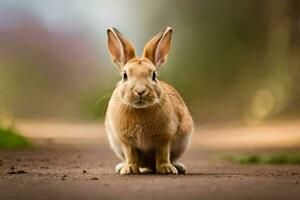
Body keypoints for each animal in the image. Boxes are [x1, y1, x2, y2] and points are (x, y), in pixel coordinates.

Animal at [105, 27, 193, 175]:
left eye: (154, 75)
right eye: (124, 75)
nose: (140, 91)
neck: (140, 109)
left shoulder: (164, 138)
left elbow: (163, 154)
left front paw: (166, 169)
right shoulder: (126, 141)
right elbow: (131, 155)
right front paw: (129, 170)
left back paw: (177, 167)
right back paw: (121, 167)